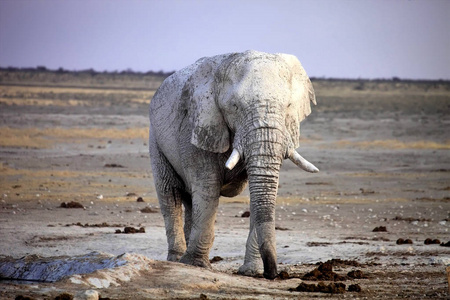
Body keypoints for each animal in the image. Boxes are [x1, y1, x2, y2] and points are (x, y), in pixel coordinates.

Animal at [148, 49, 316, 278]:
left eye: (289, 106)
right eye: (235, 107)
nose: (273, 274)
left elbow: (259, 193)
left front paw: (251, 272)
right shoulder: (198, 125)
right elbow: (208, 188)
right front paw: (197, 266)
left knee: (190, 201)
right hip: (155, 139)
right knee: (170, 194)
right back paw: (177, 260)